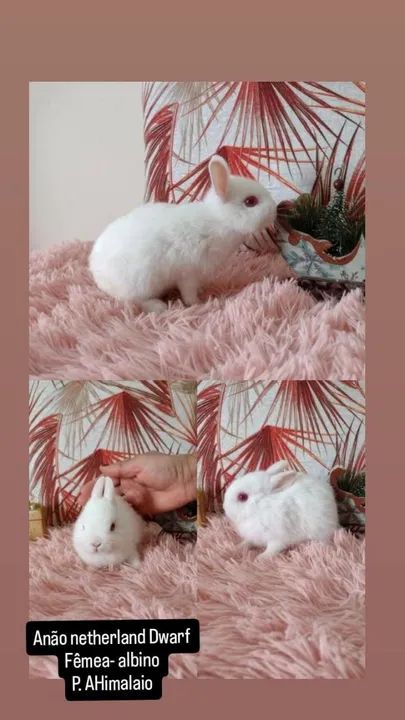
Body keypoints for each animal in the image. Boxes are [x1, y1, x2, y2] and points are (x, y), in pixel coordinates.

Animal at [89, 154, 277, 313]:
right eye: (250, 201)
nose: (275, 209)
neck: (219, 221)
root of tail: (98, 276)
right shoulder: (188, 273)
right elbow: (188, 293)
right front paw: (198, 302)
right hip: (140, 283)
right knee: (135, 301)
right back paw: (158, 306)